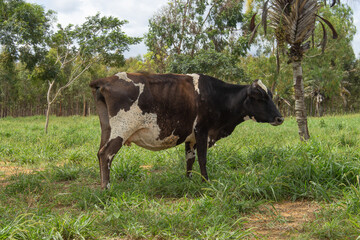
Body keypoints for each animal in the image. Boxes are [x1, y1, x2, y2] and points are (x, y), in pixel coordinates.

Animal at [90, 72, 284, 188]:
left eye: (270, 96)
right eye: (260, 97)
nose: (280, 118)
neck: (217, 96)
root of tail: (107, 79)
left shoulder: (191, 138)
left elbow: (190, 160)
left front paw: (189, 181)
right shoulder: (202, 131)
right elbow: (202, 159)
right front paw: (206, 182)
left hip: (107, 129)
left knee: (99, 153)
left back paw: (102, 185)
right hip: (121, 131)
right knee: (106, 154)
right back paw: (107, 187)